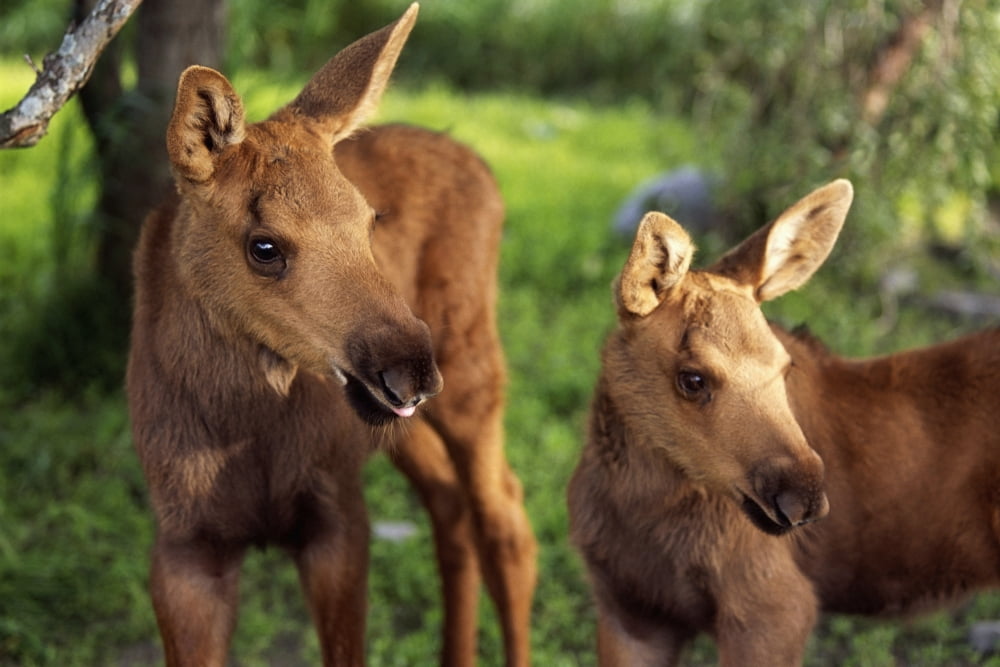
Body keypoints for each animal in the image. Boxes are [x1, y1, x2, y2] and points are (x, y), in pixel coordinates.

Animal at [126, 5, 537, 665]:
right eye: (264, 246)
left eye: (369, 220)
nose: (410, 368)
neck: (245, 430)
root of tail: (484, 170)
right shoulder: (185, 543)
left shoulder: (337, 516)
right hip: (406, 422)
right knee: (450, 503)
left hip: (473, 367)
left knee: (506, 521)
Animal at [567, 178, 1000, 666]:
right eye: (692, 379)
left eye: (785, 365)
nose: (804, 496)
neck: (637, 510)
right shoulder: (628, 610)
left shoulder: (776, 608)